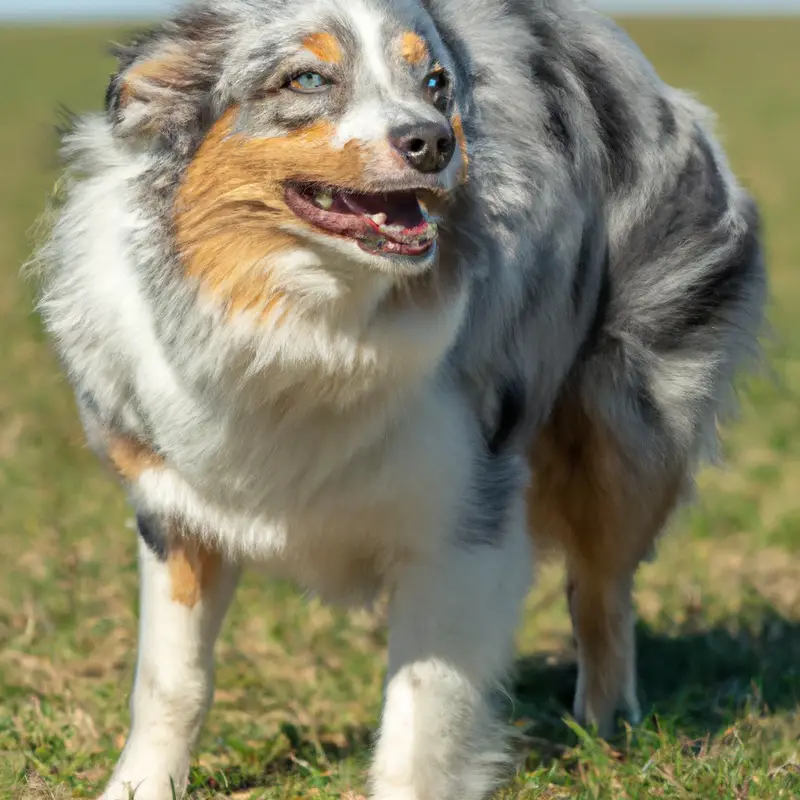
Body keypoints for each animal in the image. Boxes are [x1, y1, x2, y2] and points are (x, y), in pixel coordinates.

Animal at [32, 0, 768, 796]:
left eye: (436, 82)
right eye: (307, 78)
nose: (434, 141)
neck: (306, 320)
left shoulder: (460, 516)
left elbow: (423, 713)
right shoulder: (176, 508)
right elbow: (171, 680)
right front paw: (139, 786)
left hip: (624, 435)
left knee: (602, 588)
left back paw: (607, 731)